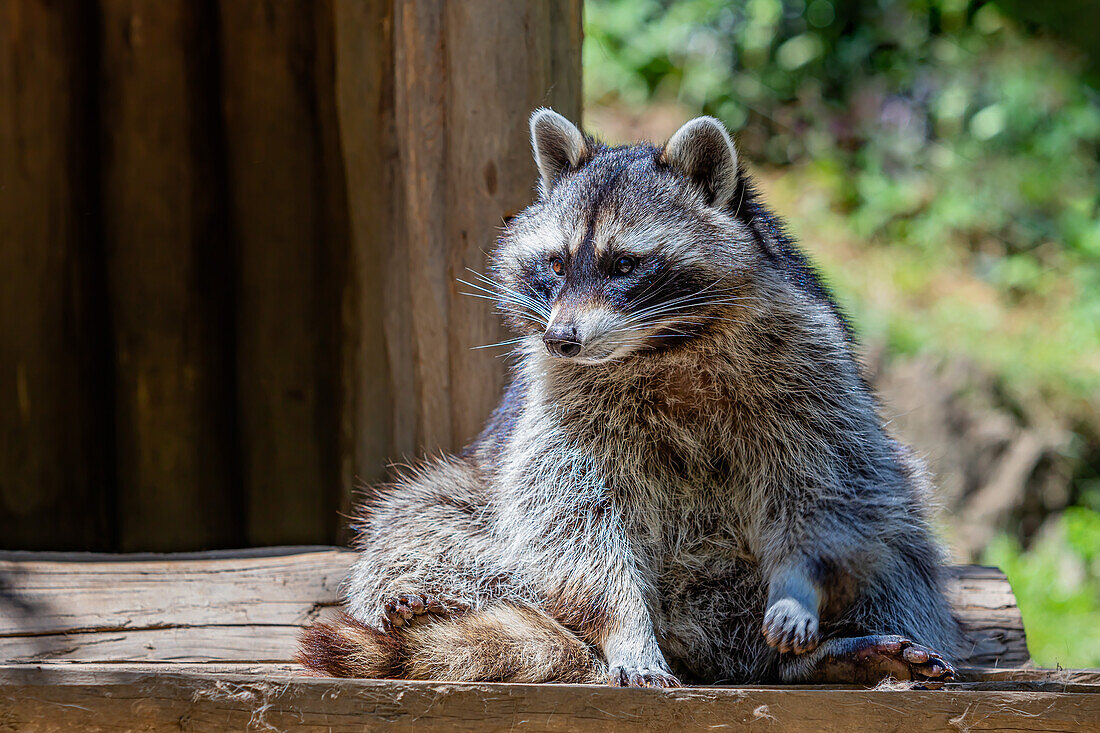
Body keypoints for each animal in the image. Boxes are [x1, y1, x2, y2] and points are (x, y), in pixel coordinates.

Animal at [299, 108, 963, 686]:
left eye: (624, 265)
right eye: (556, 263)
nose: (561, 338)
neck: (663, 345)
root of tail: (703, 645)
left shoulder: (809, 367)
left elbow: (824, 487)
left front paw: (799, 585)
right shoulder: (561, 405)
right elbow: (571, 517)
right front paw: (623, 626)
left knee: (896, 533)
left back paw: (818, 657)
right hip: (478, 493)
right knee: (427, 519)